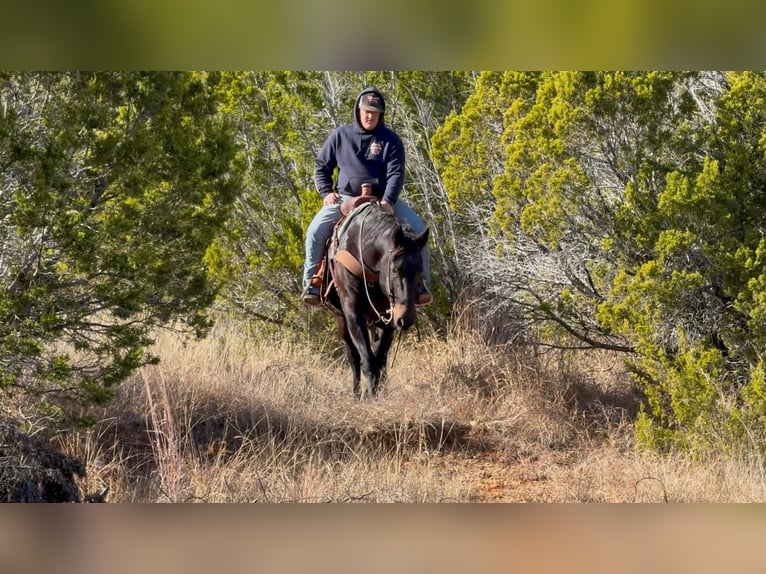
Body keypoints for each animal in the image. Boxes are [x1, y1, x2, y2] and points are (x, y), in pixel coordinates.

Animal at [323, 199, 429, 399]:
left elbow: (379, 358)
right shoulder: (352, 311)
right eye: (395, 269)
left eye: (420, 270)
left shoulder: (388, 317)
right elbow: (366, 357)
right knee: (353, 356)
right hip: (341, 319)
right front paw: (370, 395)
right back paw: (356, 393)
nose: (405, 319)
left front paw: (377, 392)